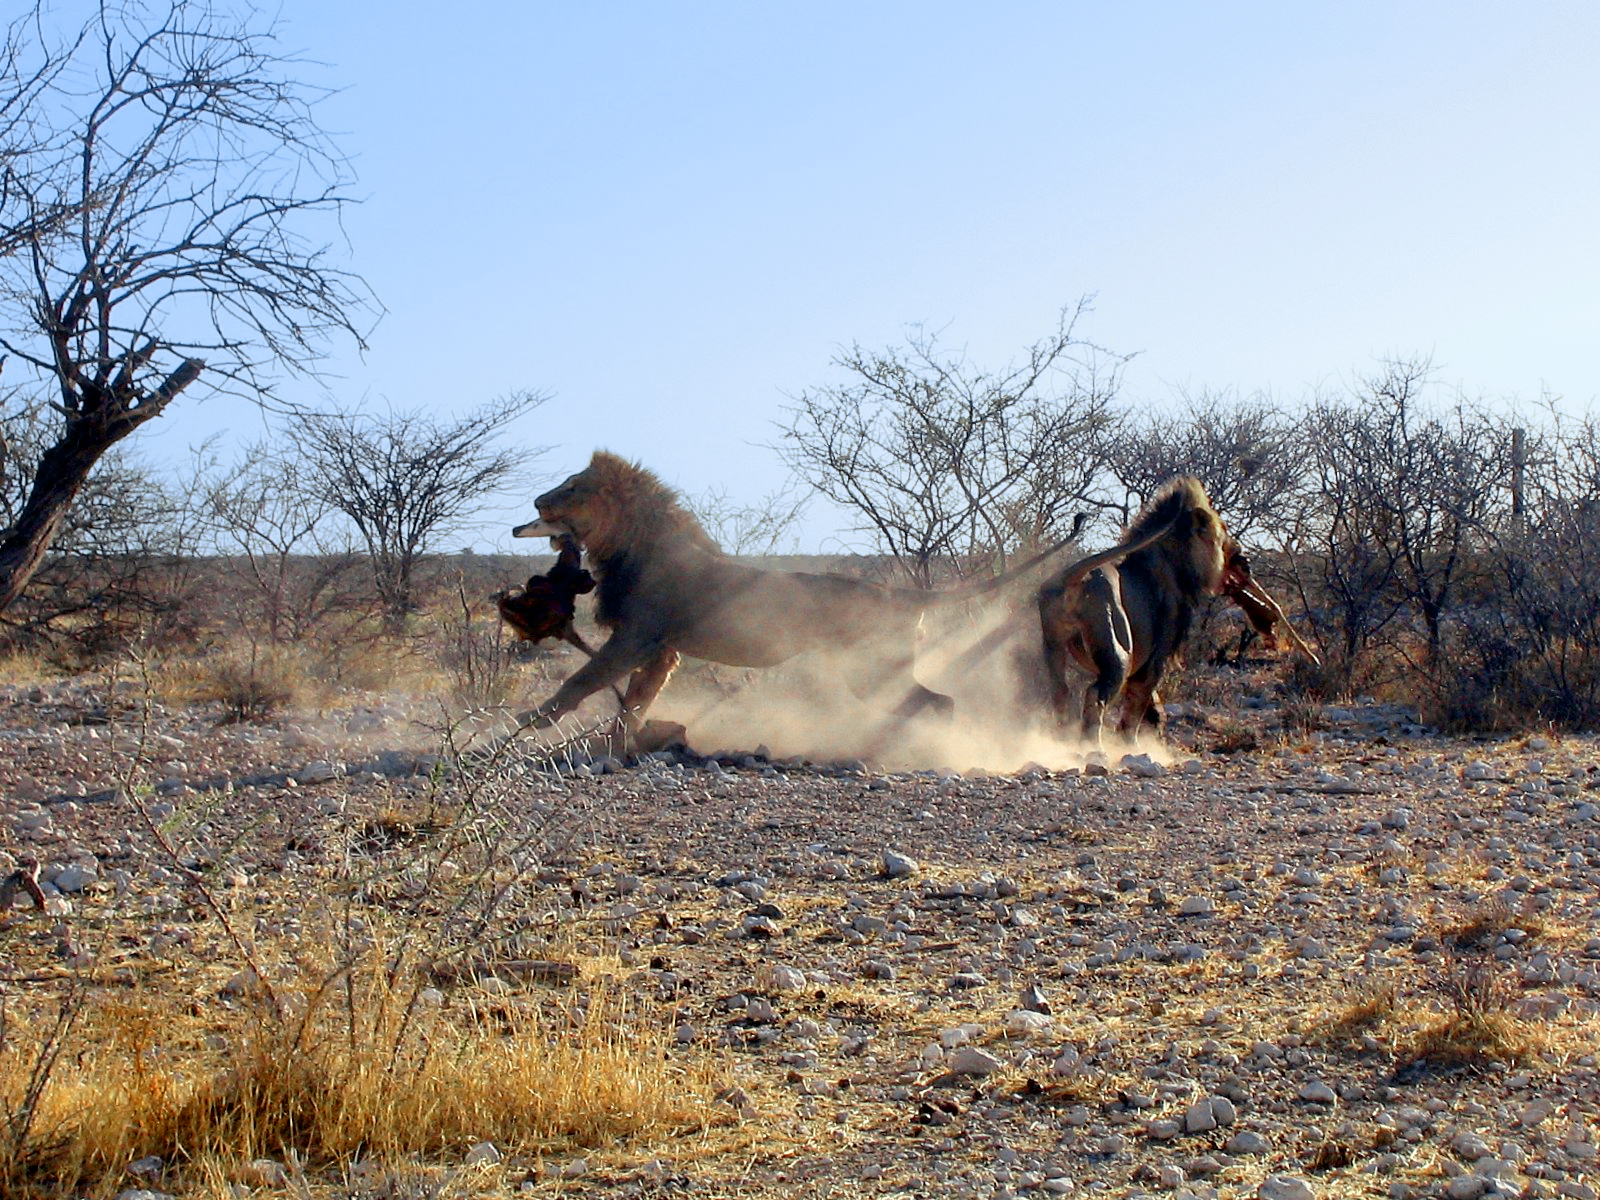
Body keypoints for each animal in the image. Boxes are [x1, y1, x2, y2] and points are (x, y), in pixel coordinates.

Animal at [512, 451, 1080, 740]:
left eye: (571, 487)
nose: (535, 501)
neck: (626, 543)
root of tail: (904, 596)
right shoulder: (662, 650)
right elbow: (633, 703)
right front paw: (618, 746)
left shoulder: (637, 637)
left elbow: (577, 685)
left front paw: (516, 729)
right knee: (933, 701)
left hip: (871, 667)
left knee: (939, 702)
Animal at [1036, 477, 1246, 747]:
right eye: (1223, 530)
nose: (1239, 551)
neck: (1174, 564)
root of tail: (1074, 577)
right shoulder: (1155, 658)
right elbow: (1137, 704)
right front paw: (1133, 746)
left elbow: (1151, 704)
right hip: (1119, 649)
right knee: (1095, 694)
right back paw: (1093, 748)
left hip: (1053, 643)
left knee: (1060, 691)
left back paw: (1061, 739)